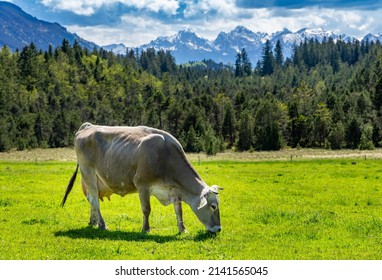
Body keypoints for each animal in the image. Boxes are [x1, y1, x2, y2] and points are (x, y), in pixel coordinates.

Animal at [61, 123, 222, 234]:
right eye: (213, 206)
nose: (219, 229)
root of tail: (89, 126)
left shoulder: (175, 190)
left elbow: (179, 210)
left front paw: (182, 229)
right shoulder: (142, 185)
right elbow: (146, 209)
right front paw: (146, 229)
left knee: (91, 199)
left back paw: (93, 222)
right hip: (88, 172)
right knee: (94, 200)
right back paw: (102, 224)